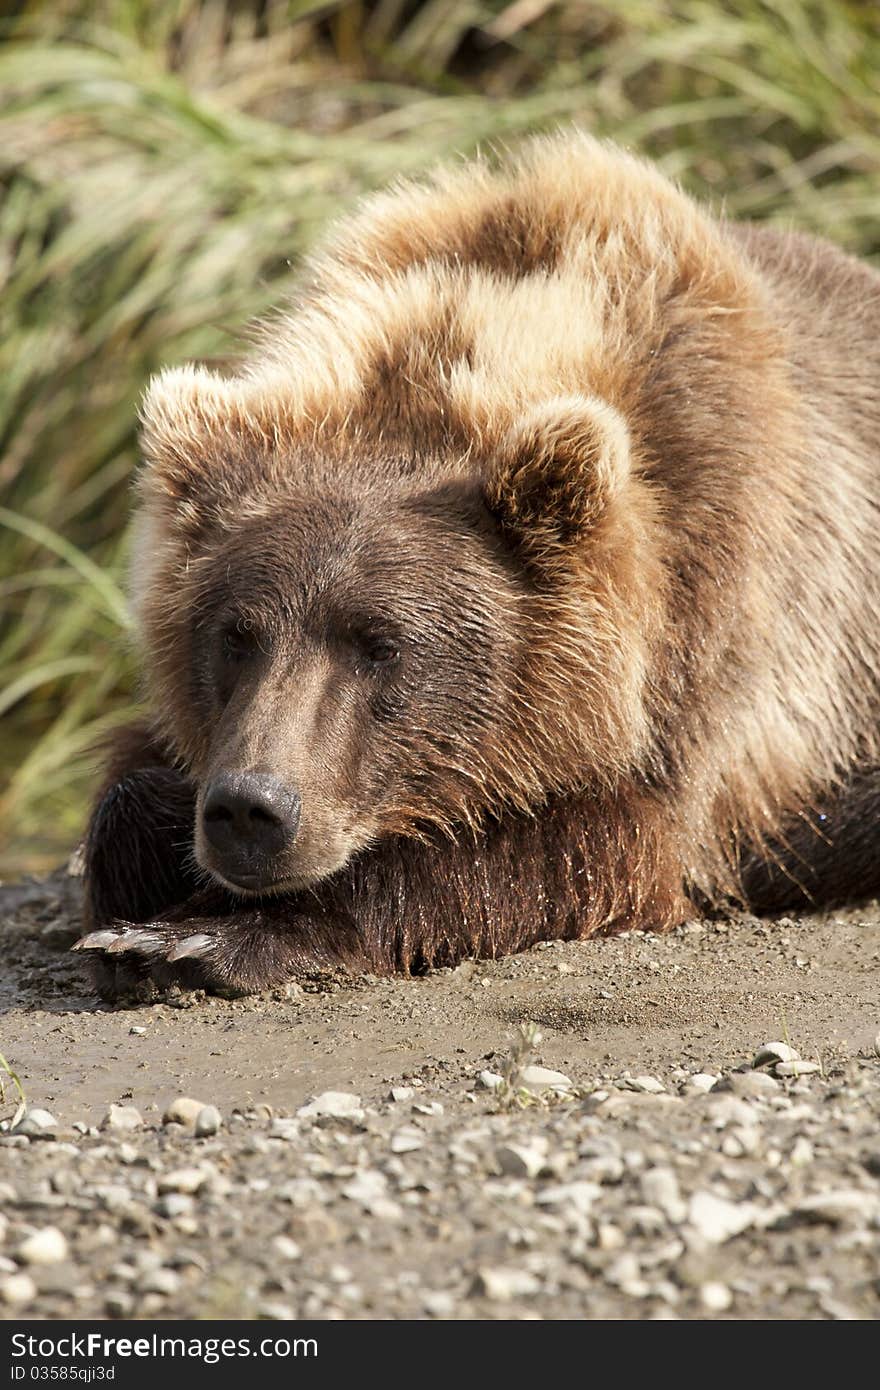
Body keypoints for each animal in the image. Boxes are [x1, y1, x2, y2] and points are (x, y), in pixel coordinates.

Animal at [77, 132, 878, 1000]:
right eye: (235, 636)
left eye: (380, 645)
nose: (251, 810)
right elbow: (132, 789)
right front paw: (146, 883)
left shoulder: (714, 648)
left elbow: (584, 845)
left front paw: (196, 939)